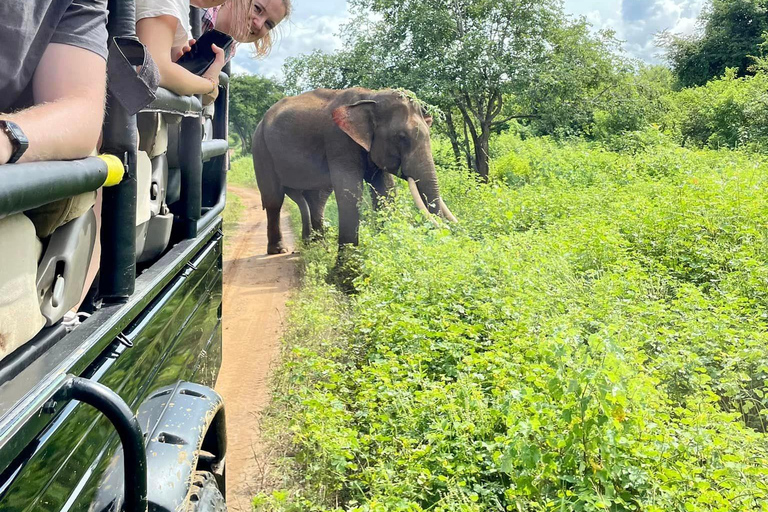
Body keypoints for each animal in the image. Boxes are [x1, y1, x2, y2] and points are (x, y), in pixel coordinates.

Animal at [252, 89, 456, 256]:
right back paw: (279, 250)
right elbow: (349, 191)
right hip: (261, 149)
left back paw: (319, 247)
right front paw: (350, 257)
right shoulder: (339, 140)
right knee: (274, 199)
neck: (371, 96)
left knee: (316, 198)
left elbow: (385, 191)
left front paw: (382, 246)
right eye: (401, 137)